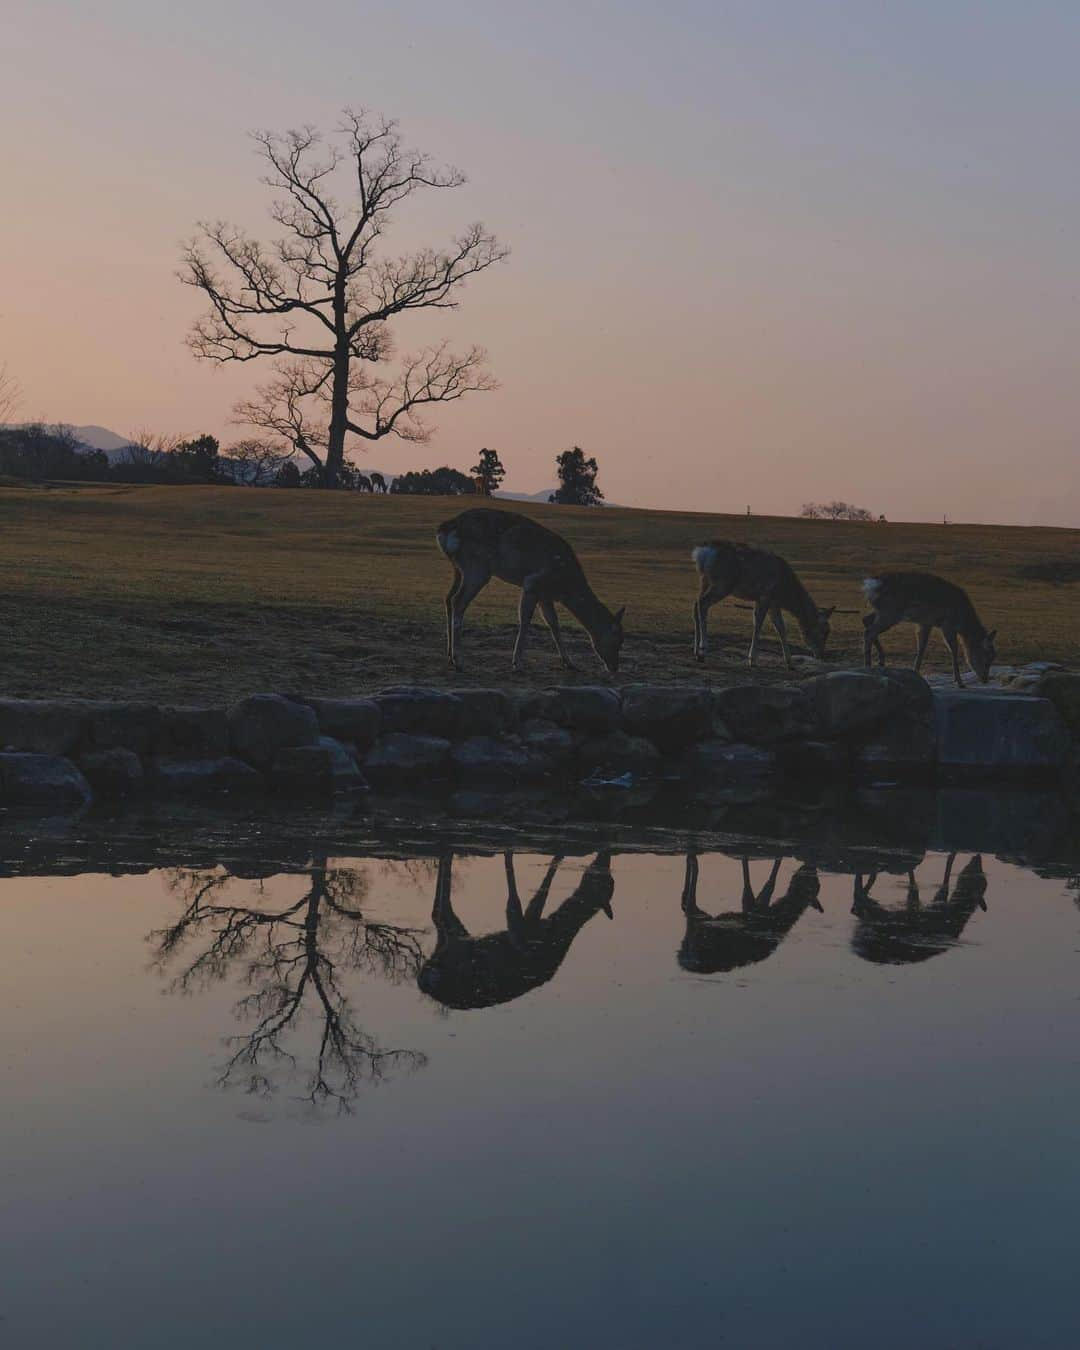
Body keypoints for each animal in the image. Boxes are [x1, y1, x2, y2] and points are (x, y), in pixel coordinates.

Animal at [418, 847, 612, 1009]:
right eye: (606, 883)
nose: (605, 858)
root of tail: (424, 981)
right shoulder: (521, 934)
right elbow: (515, 903)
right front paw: (510, 853)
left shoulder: (529, 924)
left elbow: (531, 902)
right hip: (458, 949)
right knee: (442, 912)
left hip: (454, 942)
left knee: (438, 915)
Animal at [437, 507, 629, 675]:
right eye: (618, 640)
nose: (615, 668)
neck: (564, 587)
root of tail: (445, 528)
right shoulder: (533, 583)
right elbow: (525, 619)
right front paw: (518, 664)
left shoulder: (545, 595)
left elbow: (553, 623)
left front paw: (570, 663)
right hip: (477, 568)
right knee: (458, 601)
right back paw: (459, 661)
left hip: (459, 568)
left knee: (448, 598)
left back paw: (450, 656)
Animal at [691, 537, 837, 664]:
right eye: (824, 631)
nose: (821, 655)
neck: (785, 592)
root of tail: (700, 553)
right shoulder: (765, 596)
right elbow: (759, 623)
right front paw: (752, 660)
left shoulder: (773, 603)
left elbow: (781, 627)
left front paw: (789, 662)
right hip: (722, 584)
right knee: (703, 604)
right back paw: (703, 649)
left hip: (704, 580)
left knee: (696, 604)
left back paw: (696, 652)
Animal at [858, 575, 993, 691]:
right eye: (986, 660)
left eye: (992, 659)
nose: (985, 679)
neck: (963, 621)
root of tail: (871, 585)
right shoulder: (947, 624)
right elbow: (954, 650)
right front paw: (960, 683)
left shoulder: (926, 623)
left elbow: (922, 647)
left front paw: (916, 672)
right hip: (891, 612)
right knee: (869, 631)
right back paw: (868, 666)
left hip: (884, 611)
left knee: (866, 620)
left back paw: (881, 661)